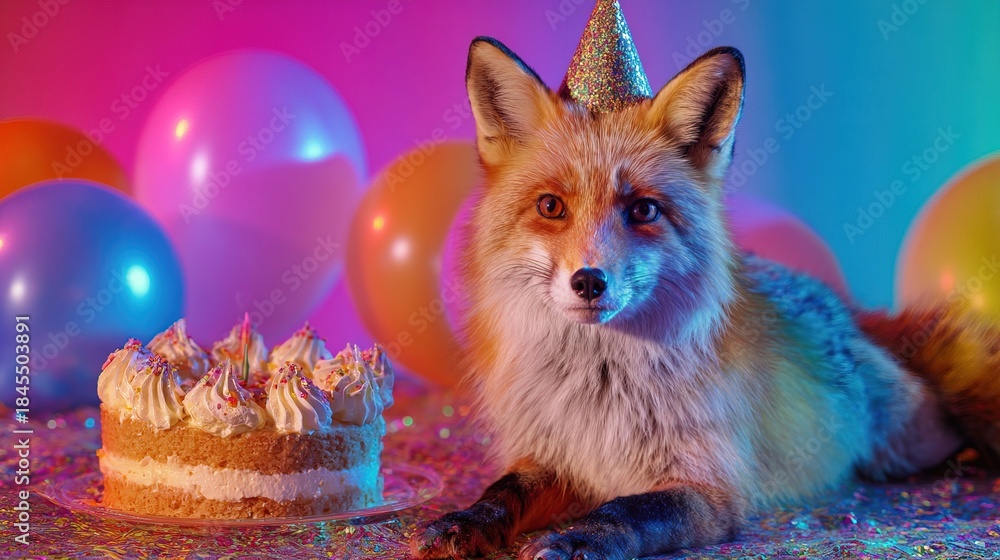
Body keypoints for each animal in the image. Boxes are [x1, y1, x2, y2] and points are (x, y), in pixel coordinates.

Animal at [410, 36, 1000, 559]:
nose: (589, 282)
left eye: (644, 210)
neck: (602, 384)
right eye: (551, 206)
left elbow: (626, 511)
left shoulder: (711, 487)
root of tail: (842, 308)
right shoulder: (555, 457)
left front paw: (579, 538)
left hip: (902, 445)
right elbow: (502, 492)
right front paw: (463, 521)